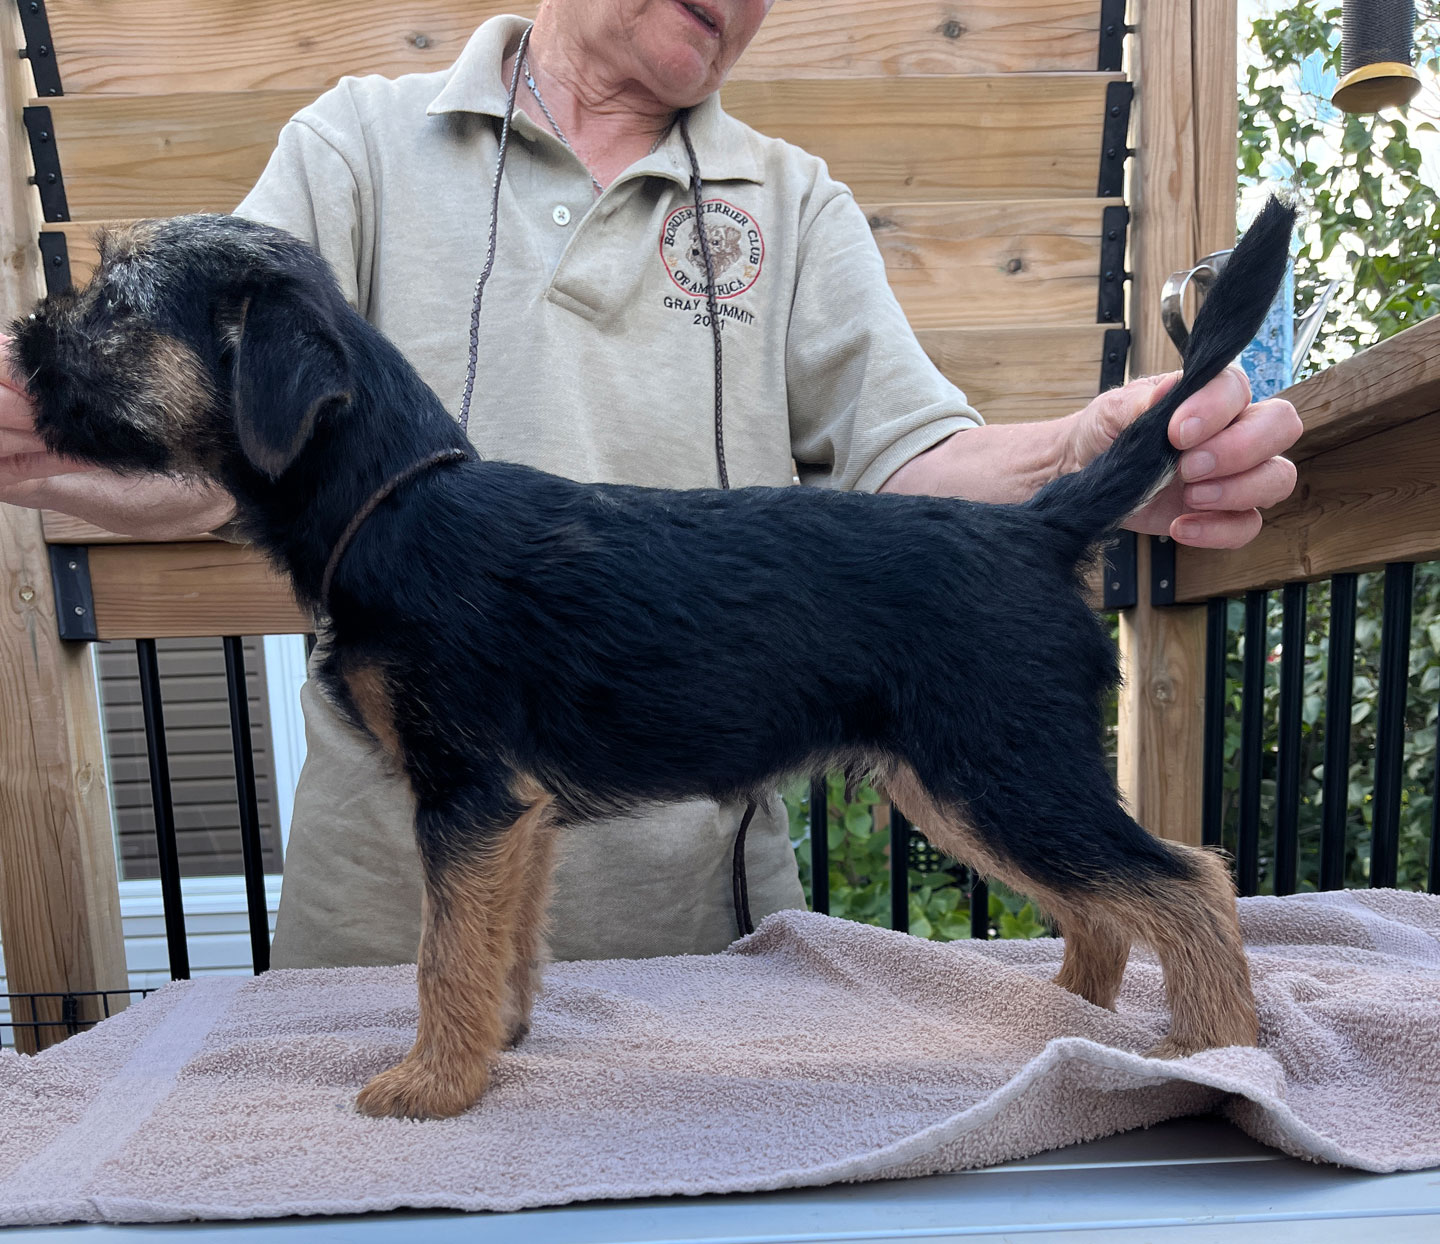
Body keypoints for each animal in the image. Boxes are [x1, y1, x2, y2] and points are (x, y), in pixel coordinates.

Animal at [9, 198, 1295, 1119]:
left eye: (115, 307)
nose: (22, 340)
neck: (389, 500)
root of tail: (1039, 523)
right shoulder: (511, 811)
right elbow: (500, 937)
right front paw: (496, 1044)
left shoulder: (466, 793)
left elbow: (442, 949)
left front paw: (430, 1084)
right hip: (965, 781)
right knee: (1110, 902)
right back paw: (1070, 1024)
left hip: (1002, 772)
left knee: (1187, 879)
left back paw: (1215, 1056)